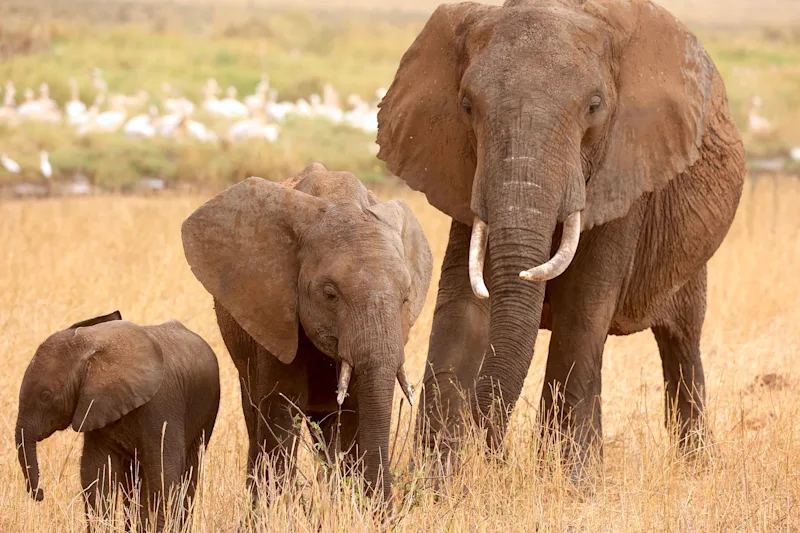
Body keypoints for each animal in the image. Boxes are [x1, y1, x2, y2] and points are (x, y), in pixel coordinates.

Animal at [15, 311, 220, 532]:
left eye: (45, 396)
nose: (40, 494)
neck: (91, 347)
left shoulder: (161, 405)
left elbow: (164, 470)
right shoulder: (96, 407)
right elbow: (96, 472)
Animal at [181, 162, 433, 501]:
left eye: (406, 298)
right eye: (330, 294)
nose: (386, 508)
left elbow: (353, 415)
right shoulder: (274, 313)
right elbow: (280, 414)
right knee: (255, 416)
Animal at [376, 0, 746, 479]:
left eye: (594, 106)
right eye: (466, 106)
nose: (494, 456)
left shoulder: (626, 171)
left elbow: (582, 309)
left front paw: (572, 482)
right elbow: (462, 307)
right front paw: (434, 482)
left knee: (681, 341)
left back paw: (698, 467)